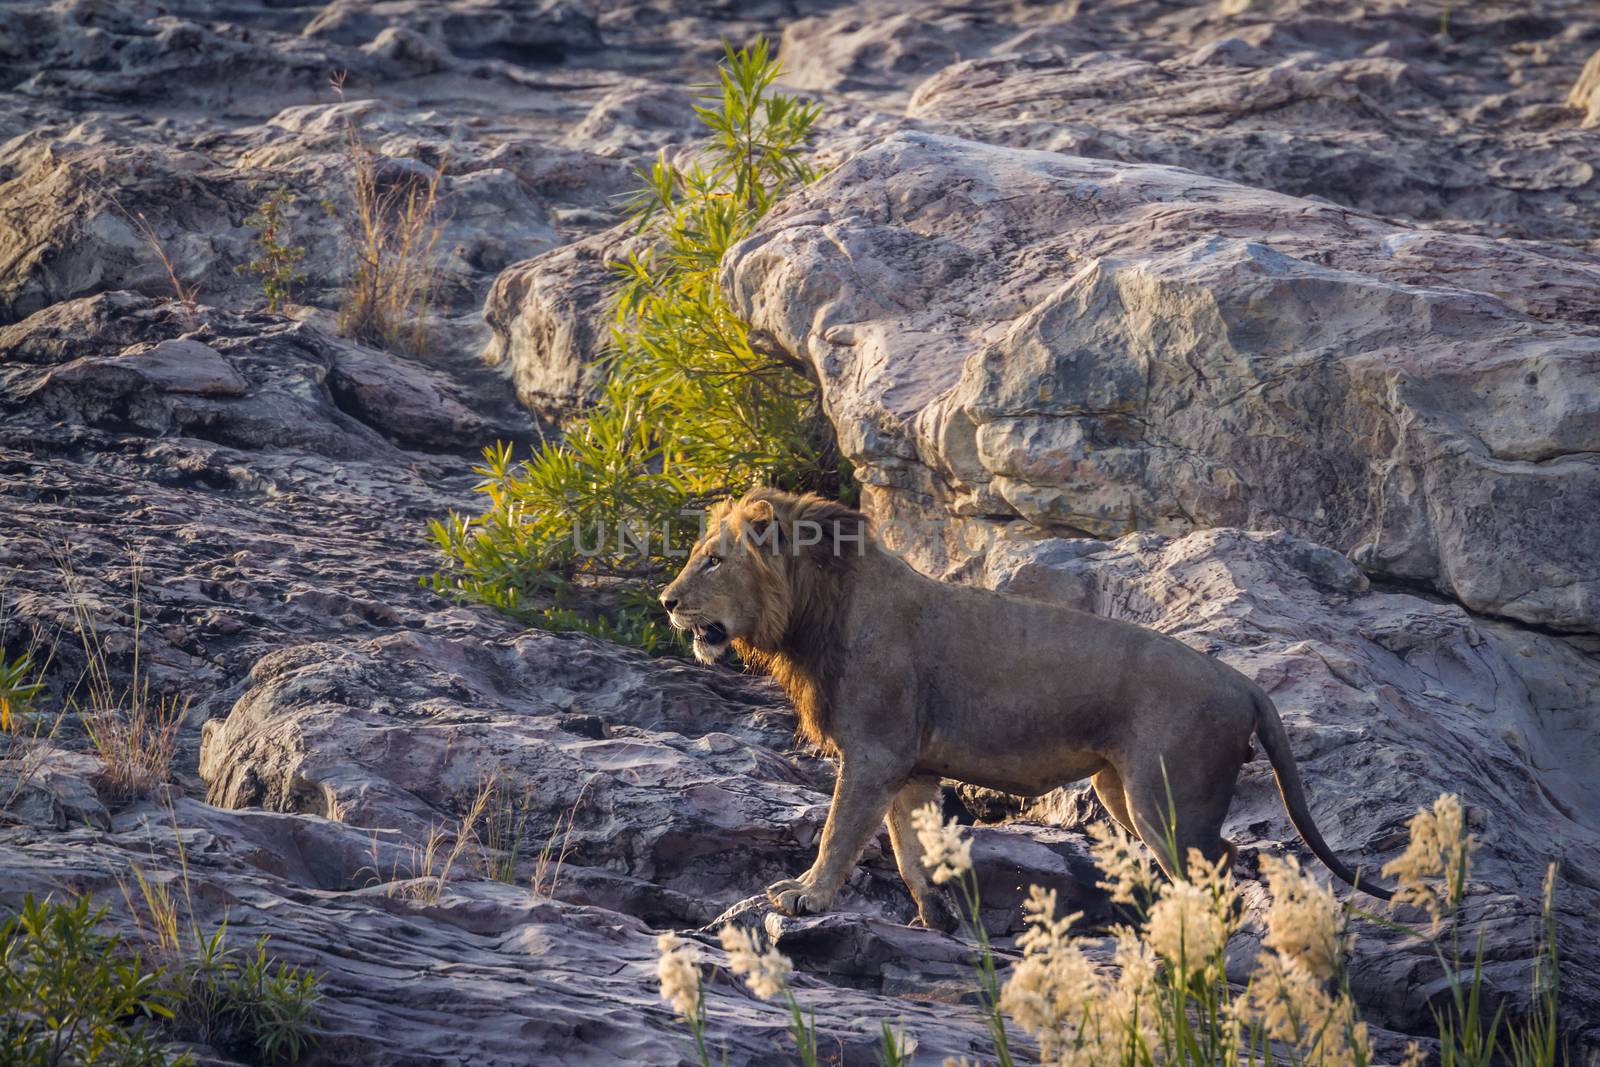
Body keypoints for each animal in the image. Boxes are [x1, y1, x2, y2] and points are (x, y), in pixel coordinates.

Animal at [659, 486, 1388, 927]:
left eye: (714, 561)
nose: (666, 601)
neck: (815, 613)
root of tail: (1244, 682)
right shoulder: (909, 767)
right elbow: (910, 852)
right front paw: (936, 917)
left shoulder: (874, 753)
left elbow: (840, 831)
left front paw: (804, 894)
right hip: (1122, 789)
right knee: (1221, 856)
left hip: (1167, 796)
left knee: (1216, 871)